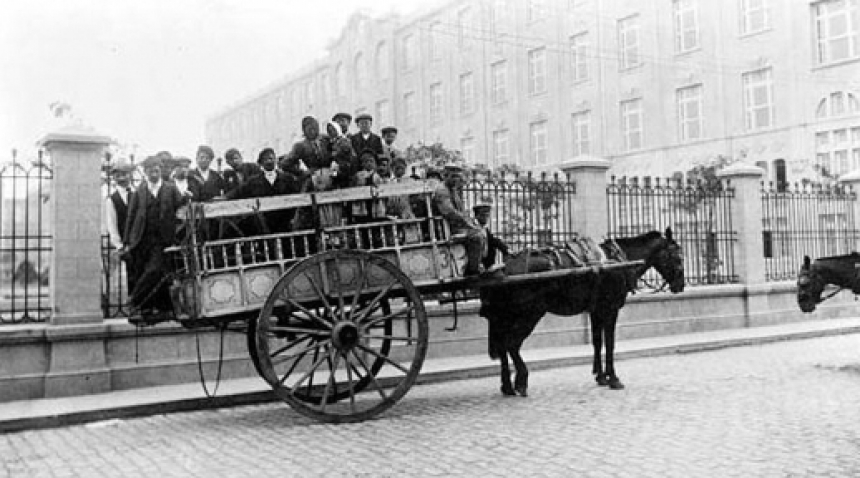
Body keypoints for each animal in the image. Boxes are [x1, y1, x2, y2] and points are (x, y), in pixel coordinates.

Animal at [480, 228, 680, 396]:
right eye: (678, 256)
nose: (681, 284)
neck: (619, 259)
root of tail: (505, 268)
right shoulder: (610, 309)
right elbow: (610, 343)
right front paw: (613, 378)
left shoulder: (596, 310)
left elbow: (597, 342)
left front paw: (601, 376)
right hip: (529, 313)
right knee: (512, 344)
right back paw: (521, 380)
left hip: (508, 316)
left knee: (504, 347)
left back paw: (507, 385)